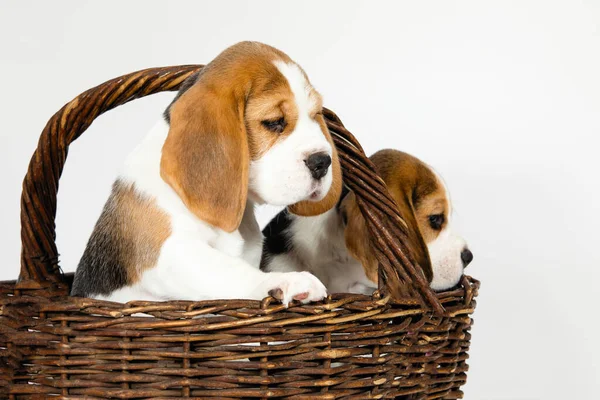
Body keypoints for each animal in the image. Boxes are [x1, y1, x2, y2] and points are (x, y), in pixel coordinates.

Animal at [69, 40, 342, 304]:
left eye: (315, 114)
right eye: (274, 122)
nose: (322, 161)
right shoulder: (171, 253)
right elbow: (231, 270)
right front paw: (286, 282)